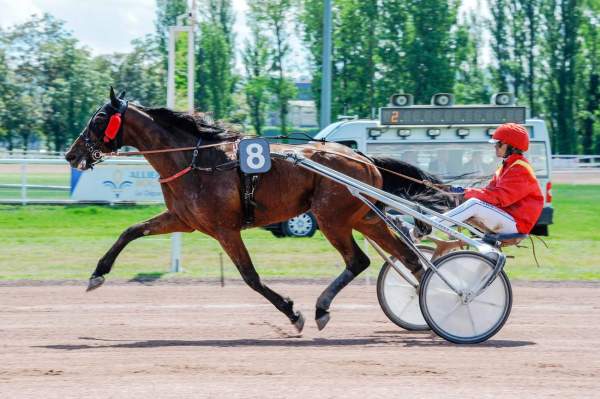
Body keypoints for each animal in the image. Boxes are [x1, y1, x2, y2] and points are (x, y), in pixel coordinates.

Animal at [65, 88, 450, 334]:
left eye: (99, 119)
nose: (70, 154)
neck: (195, 159)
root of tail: (361, 156)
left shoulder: (225, 230)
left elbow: (250, 277)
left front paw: (292, 312)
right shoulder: (182, 220)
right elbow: (130, 231)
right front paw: (97, 274)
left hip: (332, 218)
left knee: (358, 260)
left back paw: (323, 308)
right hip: (365, 217)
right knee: (408, 258)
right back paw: (432, 300)